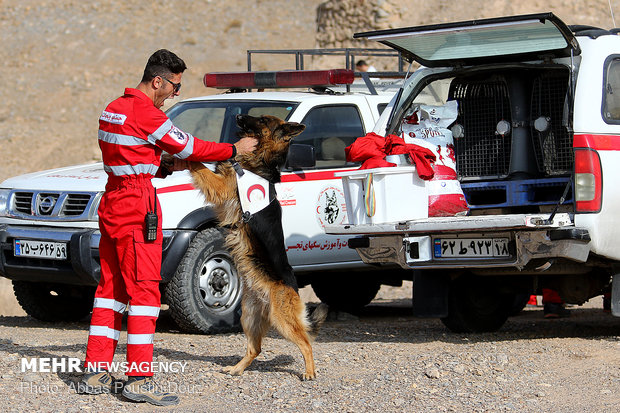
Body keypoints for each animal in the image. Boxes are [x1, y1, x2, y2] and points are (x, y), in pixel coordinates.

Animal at [190, 114, 330, 378]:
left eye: (263, 120)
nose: (238, 116)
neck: (258, 161)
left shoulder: (221, 187)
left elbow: (197, 166)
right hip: (249, 316)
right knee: (255, 349)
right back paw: (236, 369)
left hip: (282, 320)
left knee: (306, 342)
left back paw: (309, 371)